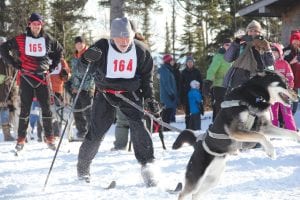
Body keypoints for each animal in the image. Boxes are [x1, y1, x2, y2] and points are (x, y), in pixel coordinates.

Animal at [172, 71, 300, 199]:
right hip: (196, 178)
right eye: (285, 83)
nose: (297, 97)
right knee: (183, 194)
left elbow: (291, 133)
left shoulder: (265, 127)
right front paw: (271, 151)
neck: (255, 95)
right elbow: (262, 137)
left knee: (196, 194)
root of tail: (197, 143)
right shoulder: (235, 131)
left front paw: (298, 139)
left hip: (213, 179)